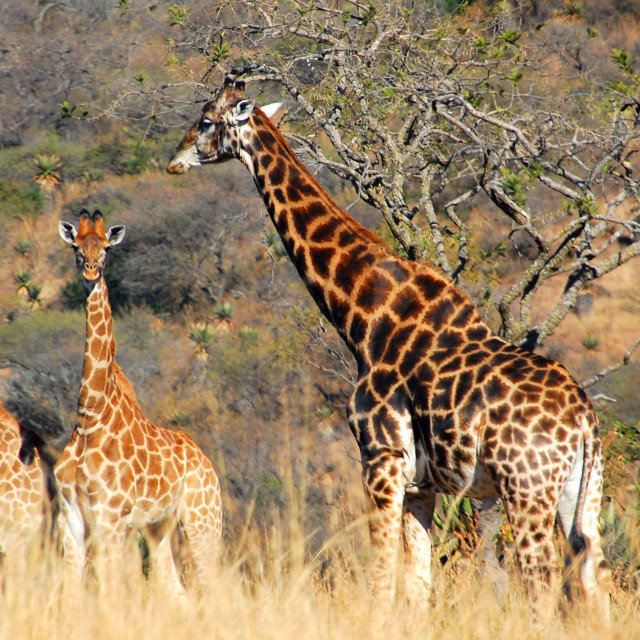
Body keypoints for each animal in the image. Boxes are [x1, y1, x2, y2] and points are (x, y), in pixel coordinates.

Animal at [55, 211, 225, 596]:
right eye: (76, 247)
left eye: (105, 248)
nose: (90, 271)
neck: (90, 416)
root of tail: (207, 462)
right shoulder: (71, 517)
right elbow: (72, 592)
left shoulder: (110, 519)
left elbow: (111, 591)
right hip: (159, 529)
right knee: (178, 592)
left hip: (203, 520)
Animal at [168, 79, 612, 616]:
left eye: (206, 121)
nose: (173, 161)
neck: (363, 316)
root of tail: (582, 420)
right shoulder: (421, 486)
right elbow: (417, 588)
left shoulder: (380, 462)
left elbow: (381, 583)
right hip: (582, 492)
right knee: (594, 575)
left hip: (525, 488)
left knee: (542, 580)